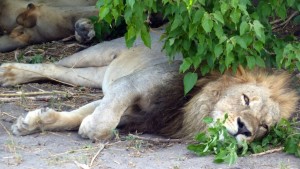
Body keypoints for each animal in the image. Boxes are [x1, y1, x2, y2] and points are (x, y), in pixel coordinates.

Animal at [0, 28, 298, 143]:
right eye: (245, 99)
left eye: (264, 127)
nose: (245, 129)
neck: (187, 106)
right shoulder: (130, 84)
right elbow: (102, 121)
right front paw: (89, 128)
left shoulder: (129, 105)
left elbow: (79, 115)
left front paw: (33, 122)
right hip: (98, 52)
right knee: (53, 64)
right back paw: (8, 72)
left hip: (95, 75)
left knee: (59, 72)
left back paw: (12, 75)